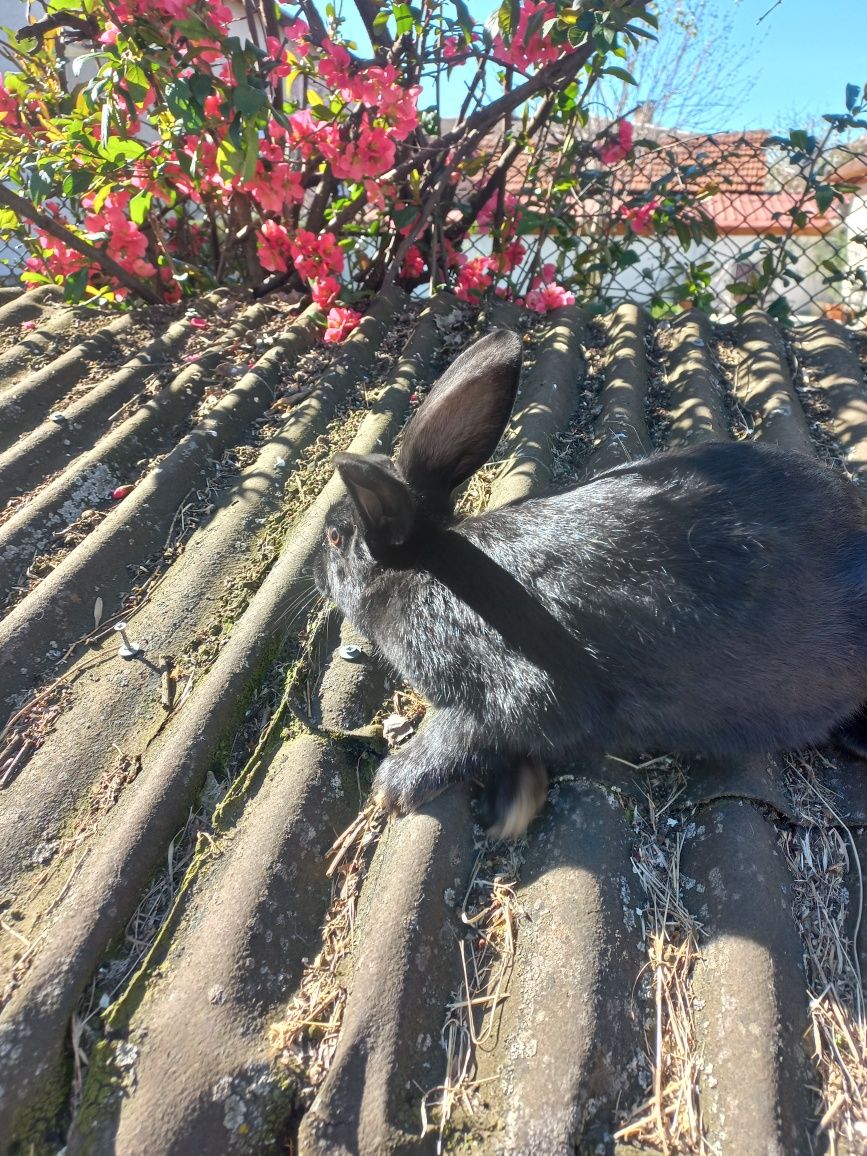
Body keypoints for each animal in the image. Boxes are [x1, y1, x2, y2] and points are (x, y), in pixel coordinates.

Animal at [316, 330, 867, 836]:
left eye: (336, 537)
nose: (317, 578)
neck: (427, 567)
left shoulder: (516, 689)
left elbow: (467, 733)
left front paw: (401, 786)